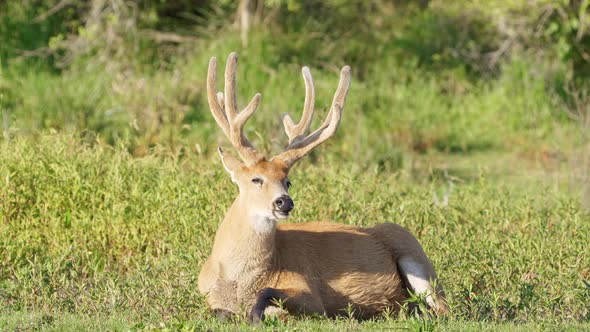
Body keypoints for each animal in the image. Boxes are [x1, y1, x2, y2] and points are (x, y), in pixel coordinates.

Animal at [199, 52, 448, 322]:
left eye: (287, 181)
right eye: (256, 179)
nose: (284, 202)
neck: (237, 280)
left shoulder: (310, 293)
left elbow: (270, 296)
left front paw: (256, 315)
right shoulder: (209, 296)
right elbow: (221, 312)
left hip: (413, 252)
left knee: (443, 309)